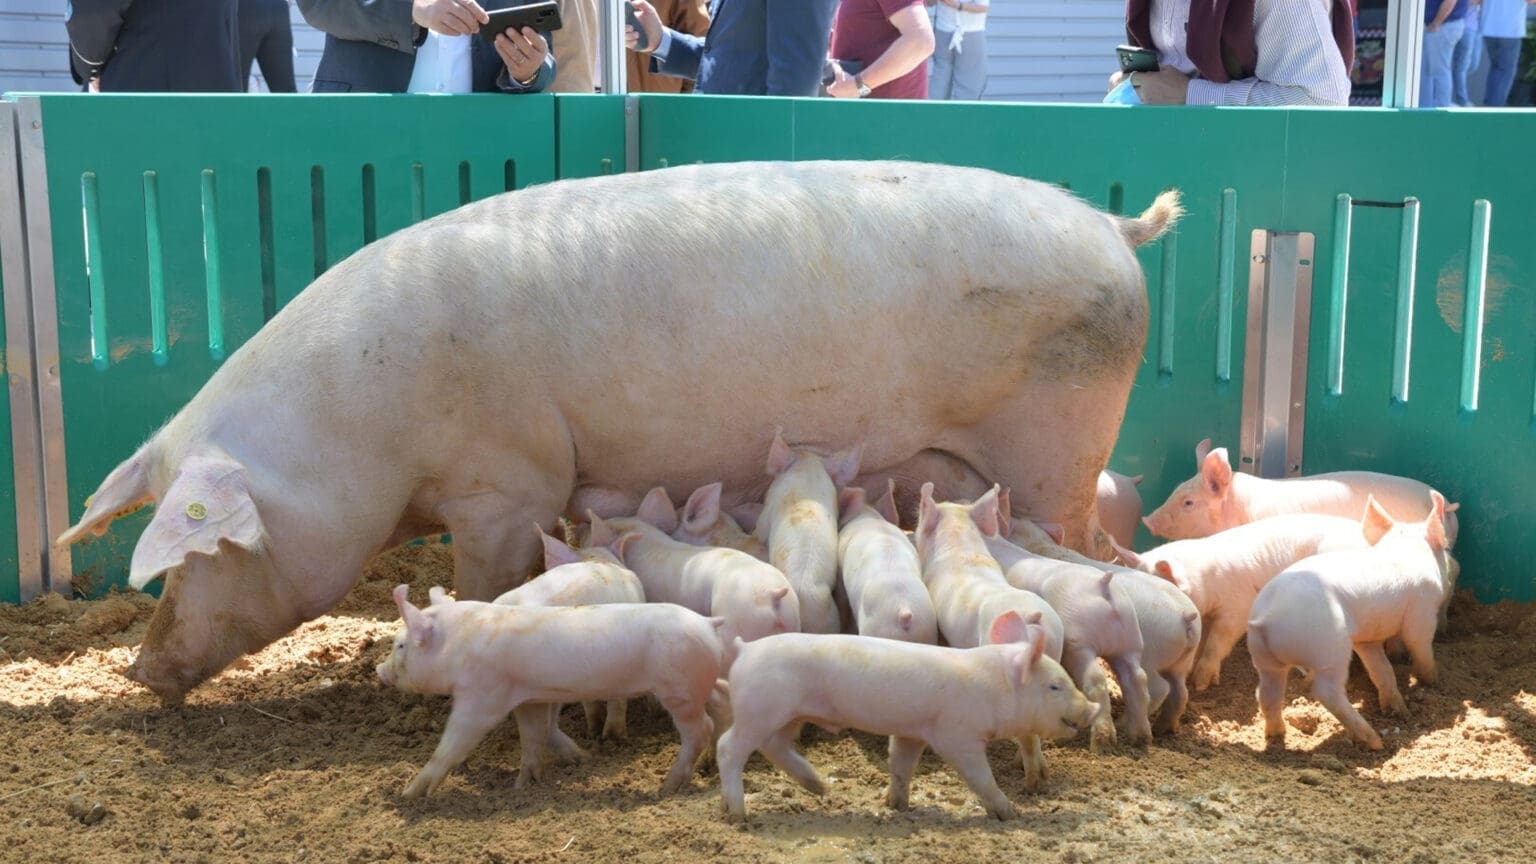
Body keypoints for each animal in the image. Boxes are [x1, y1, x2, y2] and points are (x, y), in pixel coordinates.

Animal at [376, 586, 723, 797]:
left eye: (401, 645)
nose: (379, 669)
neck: (459, 645)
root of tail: (708, 622)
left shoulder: (483, 696)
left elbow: (453, 743)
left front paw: (409, 794)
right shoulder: (529, 699)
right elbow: (532, 737)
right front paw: (524, 786)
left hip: (680, 689)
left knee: (701, 728)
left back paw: (668, 786)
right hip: (699, 683)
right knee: (721, 705)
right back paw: (706, 767)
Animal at [494, 526, 646, 769]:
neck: (597, 559)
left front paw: (594, 730)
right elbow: (617, 698)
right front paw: (614, 738)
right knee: (545, 726)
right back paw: (583, 757)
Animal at [715, 611, 1098, 822]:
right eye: (1055, 686)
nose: (1091, 709)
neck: (994, 686)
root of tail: (744, 649)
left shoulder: (912, 732)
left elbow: (901, 765)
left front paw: (896, 805)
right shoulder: (957, 735)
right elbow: (980, 777)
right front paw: (1010, 814)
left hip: (786, 714)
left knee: (774, 746)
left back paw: (820, 787)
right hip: (761, 707)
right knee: (728, 747)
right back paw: (737, 814)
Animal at [1247, 493, 1455, 750]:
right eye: (1444, 549)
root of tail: (1267, 618)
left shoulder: (1367, 640)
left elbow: (1381, 669)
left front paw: (1399, 711)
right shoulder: (1422, 610)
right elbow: (1420, 646)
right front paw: (1435, 680)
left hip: (1264, 658)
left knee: (1266, 693)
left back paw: (1276, 736)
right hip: (1329, 647)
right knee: (1326, 691)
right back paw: (1374, 741)